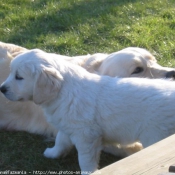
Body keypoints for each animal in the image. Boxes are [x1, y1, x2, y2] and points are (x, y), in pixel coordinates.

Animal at [1, 49, 175, 175]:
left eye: (19, 77)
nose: (2, 89)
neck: (64, 91)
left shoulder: (86, 136)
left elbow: (85, 160)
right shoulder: (67, 127)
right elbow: (60, 142)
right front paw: (52, 153)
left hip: (155, 136)